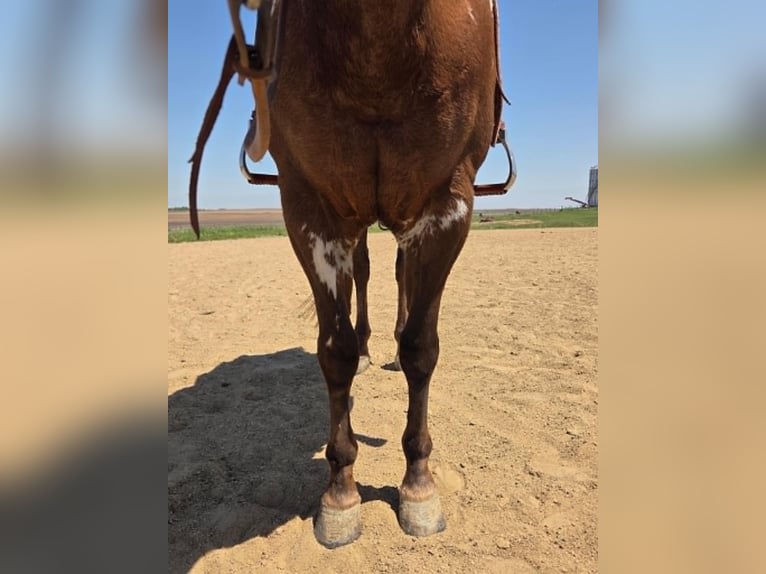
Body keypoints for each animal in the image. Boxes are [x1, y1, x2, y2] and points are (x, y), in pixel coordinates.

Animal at [192, 0, 508, 548]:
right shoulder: (310, 206)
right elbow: (334, 350)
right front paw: (340, 496)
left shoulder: (448, 203)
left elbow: (422, 348)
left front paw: (418, 488)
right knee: (362, 273)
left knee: (401, 277)